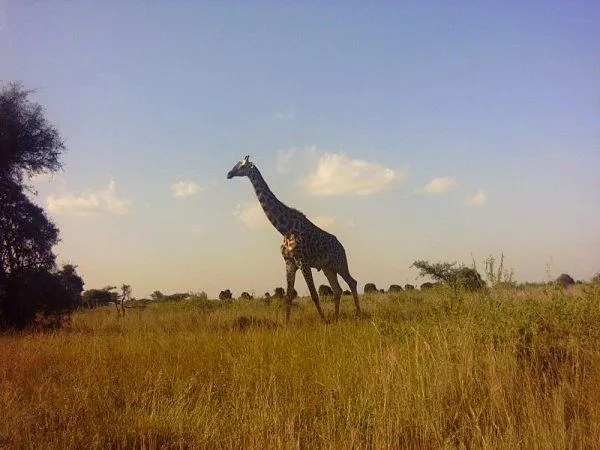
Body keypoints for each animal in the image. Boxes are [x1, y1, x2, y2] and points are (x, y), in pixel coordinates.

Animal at [229, 156, 360, 324]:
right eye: (236, 164)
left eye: (242, 166)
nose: (229, 173)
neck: (285, 228)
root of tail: (342, 247)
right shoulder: (289, 262)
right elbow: (288, 297)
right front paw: (286, 324)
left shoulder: (303, 261)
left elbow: (314, 294)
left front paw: (324, 321)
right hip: (328, 268)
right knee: (337, 289)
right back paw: (336, 318)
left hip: (340, 263)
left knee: (352, 282)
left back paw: (359, 314)